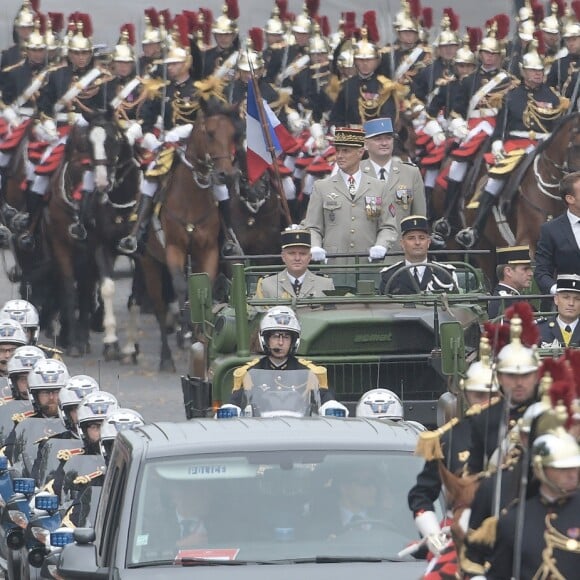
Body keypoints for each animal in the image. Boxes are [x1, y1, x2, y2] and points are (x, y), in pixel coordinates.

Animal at [139, 98, 239, 372]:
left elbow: (206, 289)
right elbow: (182, 287)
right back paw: (167, 355)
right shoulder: (174, 249)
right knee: (160, 308)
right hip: (150, 263)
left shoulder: (208, 251)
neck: (190, 197)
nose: (227, 175)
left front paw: (200, 333)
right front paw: (184, 328)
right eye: (210, 133)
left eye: (233, 134)